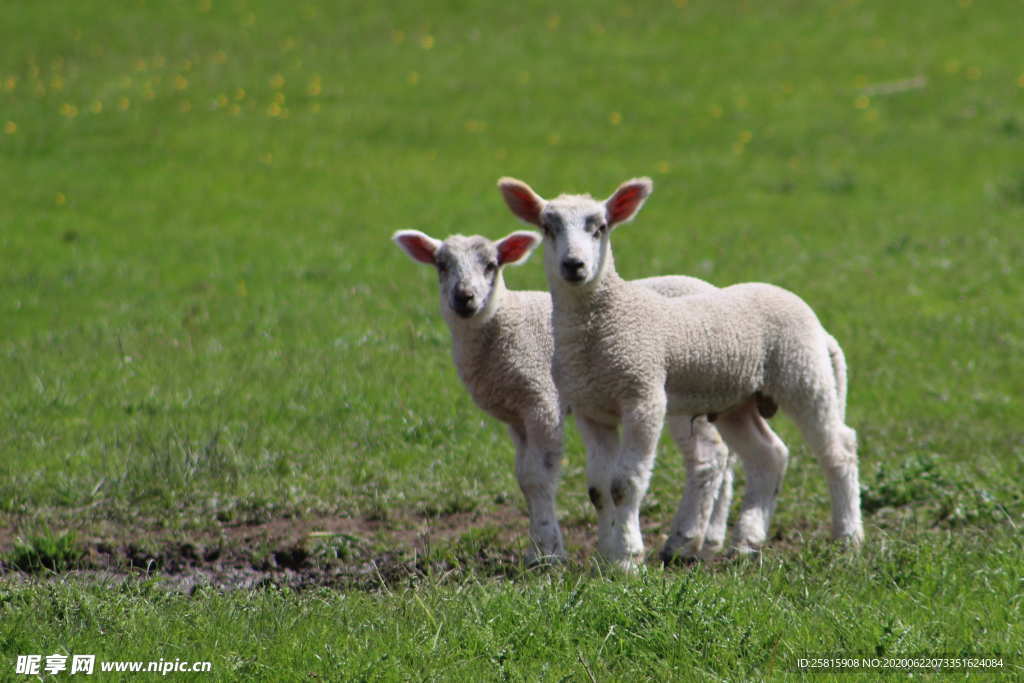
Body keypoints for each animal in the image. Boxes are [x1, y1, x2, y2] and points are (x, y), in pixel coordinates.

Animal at [391, 227, 737, 565]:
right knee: (725, 455)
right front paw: (537, 549)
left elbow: (537, 477)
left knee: (708, 457)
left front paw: (548, 553)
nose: (464, 298)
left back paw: (684, 542)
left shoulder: (541, 400)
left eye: (491, 265)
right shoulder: (516, 417)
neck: (502, 323)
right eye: (442, 265)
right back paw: (712, 540)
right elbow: (523, 477)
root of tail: (712, 288)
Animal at [499, 178, 860, 573]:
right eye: (547, 228)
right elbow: (598, 488)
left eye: (601, 228)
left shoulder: (643, 395)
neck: (598, 330)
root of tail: (818, 327)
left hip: (803, 374)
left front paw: (628, 558)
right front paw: (607, 554)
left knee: (839, 448)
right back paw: (746, 542)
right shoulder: (590, 409)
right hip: (738, 399)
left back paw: (848, 536)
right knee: (769, 455)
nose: (574, 265)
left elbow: (624, 484)